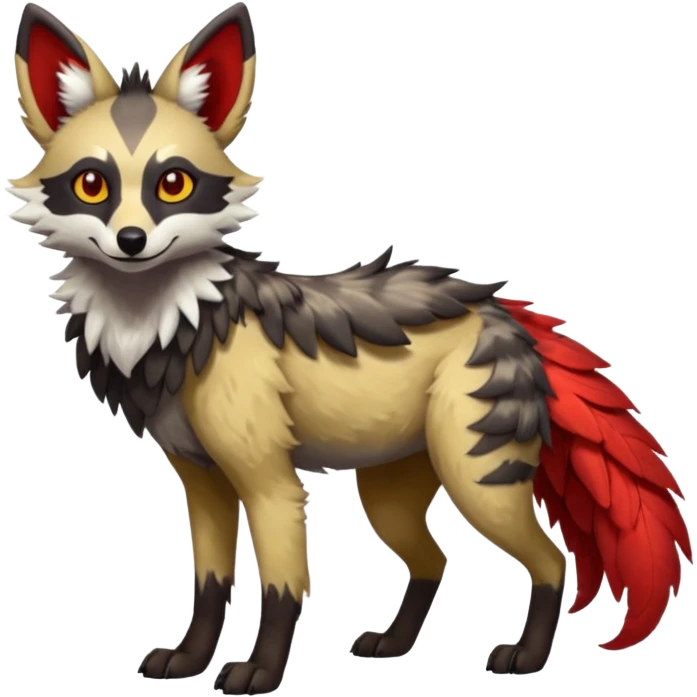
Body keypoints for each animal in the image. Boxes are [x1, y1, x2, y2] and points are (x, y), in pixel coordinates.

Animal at [8, 2, 692, 693]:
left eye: (172, 183)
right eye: (91, 185)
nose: (131, 241)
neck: (169, 325)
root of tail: (495, 308)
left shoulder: (269, 482)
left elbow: (282, 589)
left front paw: (260, 672)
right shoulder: (201, 482)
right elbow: (209, 585)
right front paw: (188, 661)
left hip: (476, 482)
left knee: (549, 561)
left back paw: (524, 658)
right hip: (388, 495)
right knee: (435, 561)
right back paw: (393, 645)